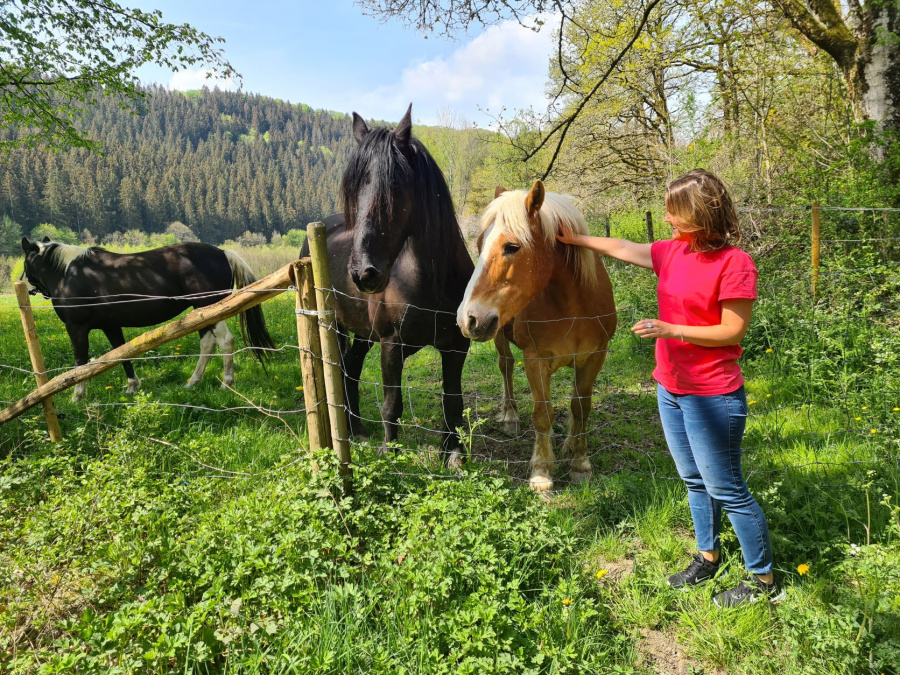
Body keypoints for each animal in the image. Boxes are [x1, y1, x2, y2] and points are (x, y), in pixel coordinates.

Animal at [22, 236, 274, 398]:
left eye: (25, 261)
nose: (32, 287)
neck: (69, 273)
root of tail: (223, 253)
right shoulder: (111, 326)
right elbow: (120, 354)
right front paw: (132, 386)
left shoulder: (77, 327)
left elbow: (80, 361)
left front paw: (77, 395)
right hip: (202, 312)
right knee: (208, 343)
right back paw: (193, 382)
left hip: (209, 307)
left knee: (225, 341)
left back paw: (227, 383)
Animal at [300, 105, 474, 464]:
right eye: (354, 191)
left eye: (396, 185)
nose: (364, 273)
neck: (430, 281)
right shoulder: (391, 345)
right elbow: (392, 403)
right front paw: (390, 452)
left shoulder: (455, 347)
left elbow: (453, 401)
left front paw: (454, 454)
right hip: (337, 328)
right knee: (342, 370)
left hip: (363, 334)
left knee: (351, 368)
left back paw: (357, 428)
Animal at [458, 181, 620, 492]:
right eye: (479, 245)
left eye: (511, 247)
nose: (467, 318)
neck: (573, 308)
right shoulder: (534, 360)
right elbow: (542, 415)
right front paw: (542, 472)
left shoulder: (595, 357)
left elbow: (581, 406)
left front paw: (579, 461)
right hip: (498, 334)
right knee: (506, 366)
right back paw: (510, 416)